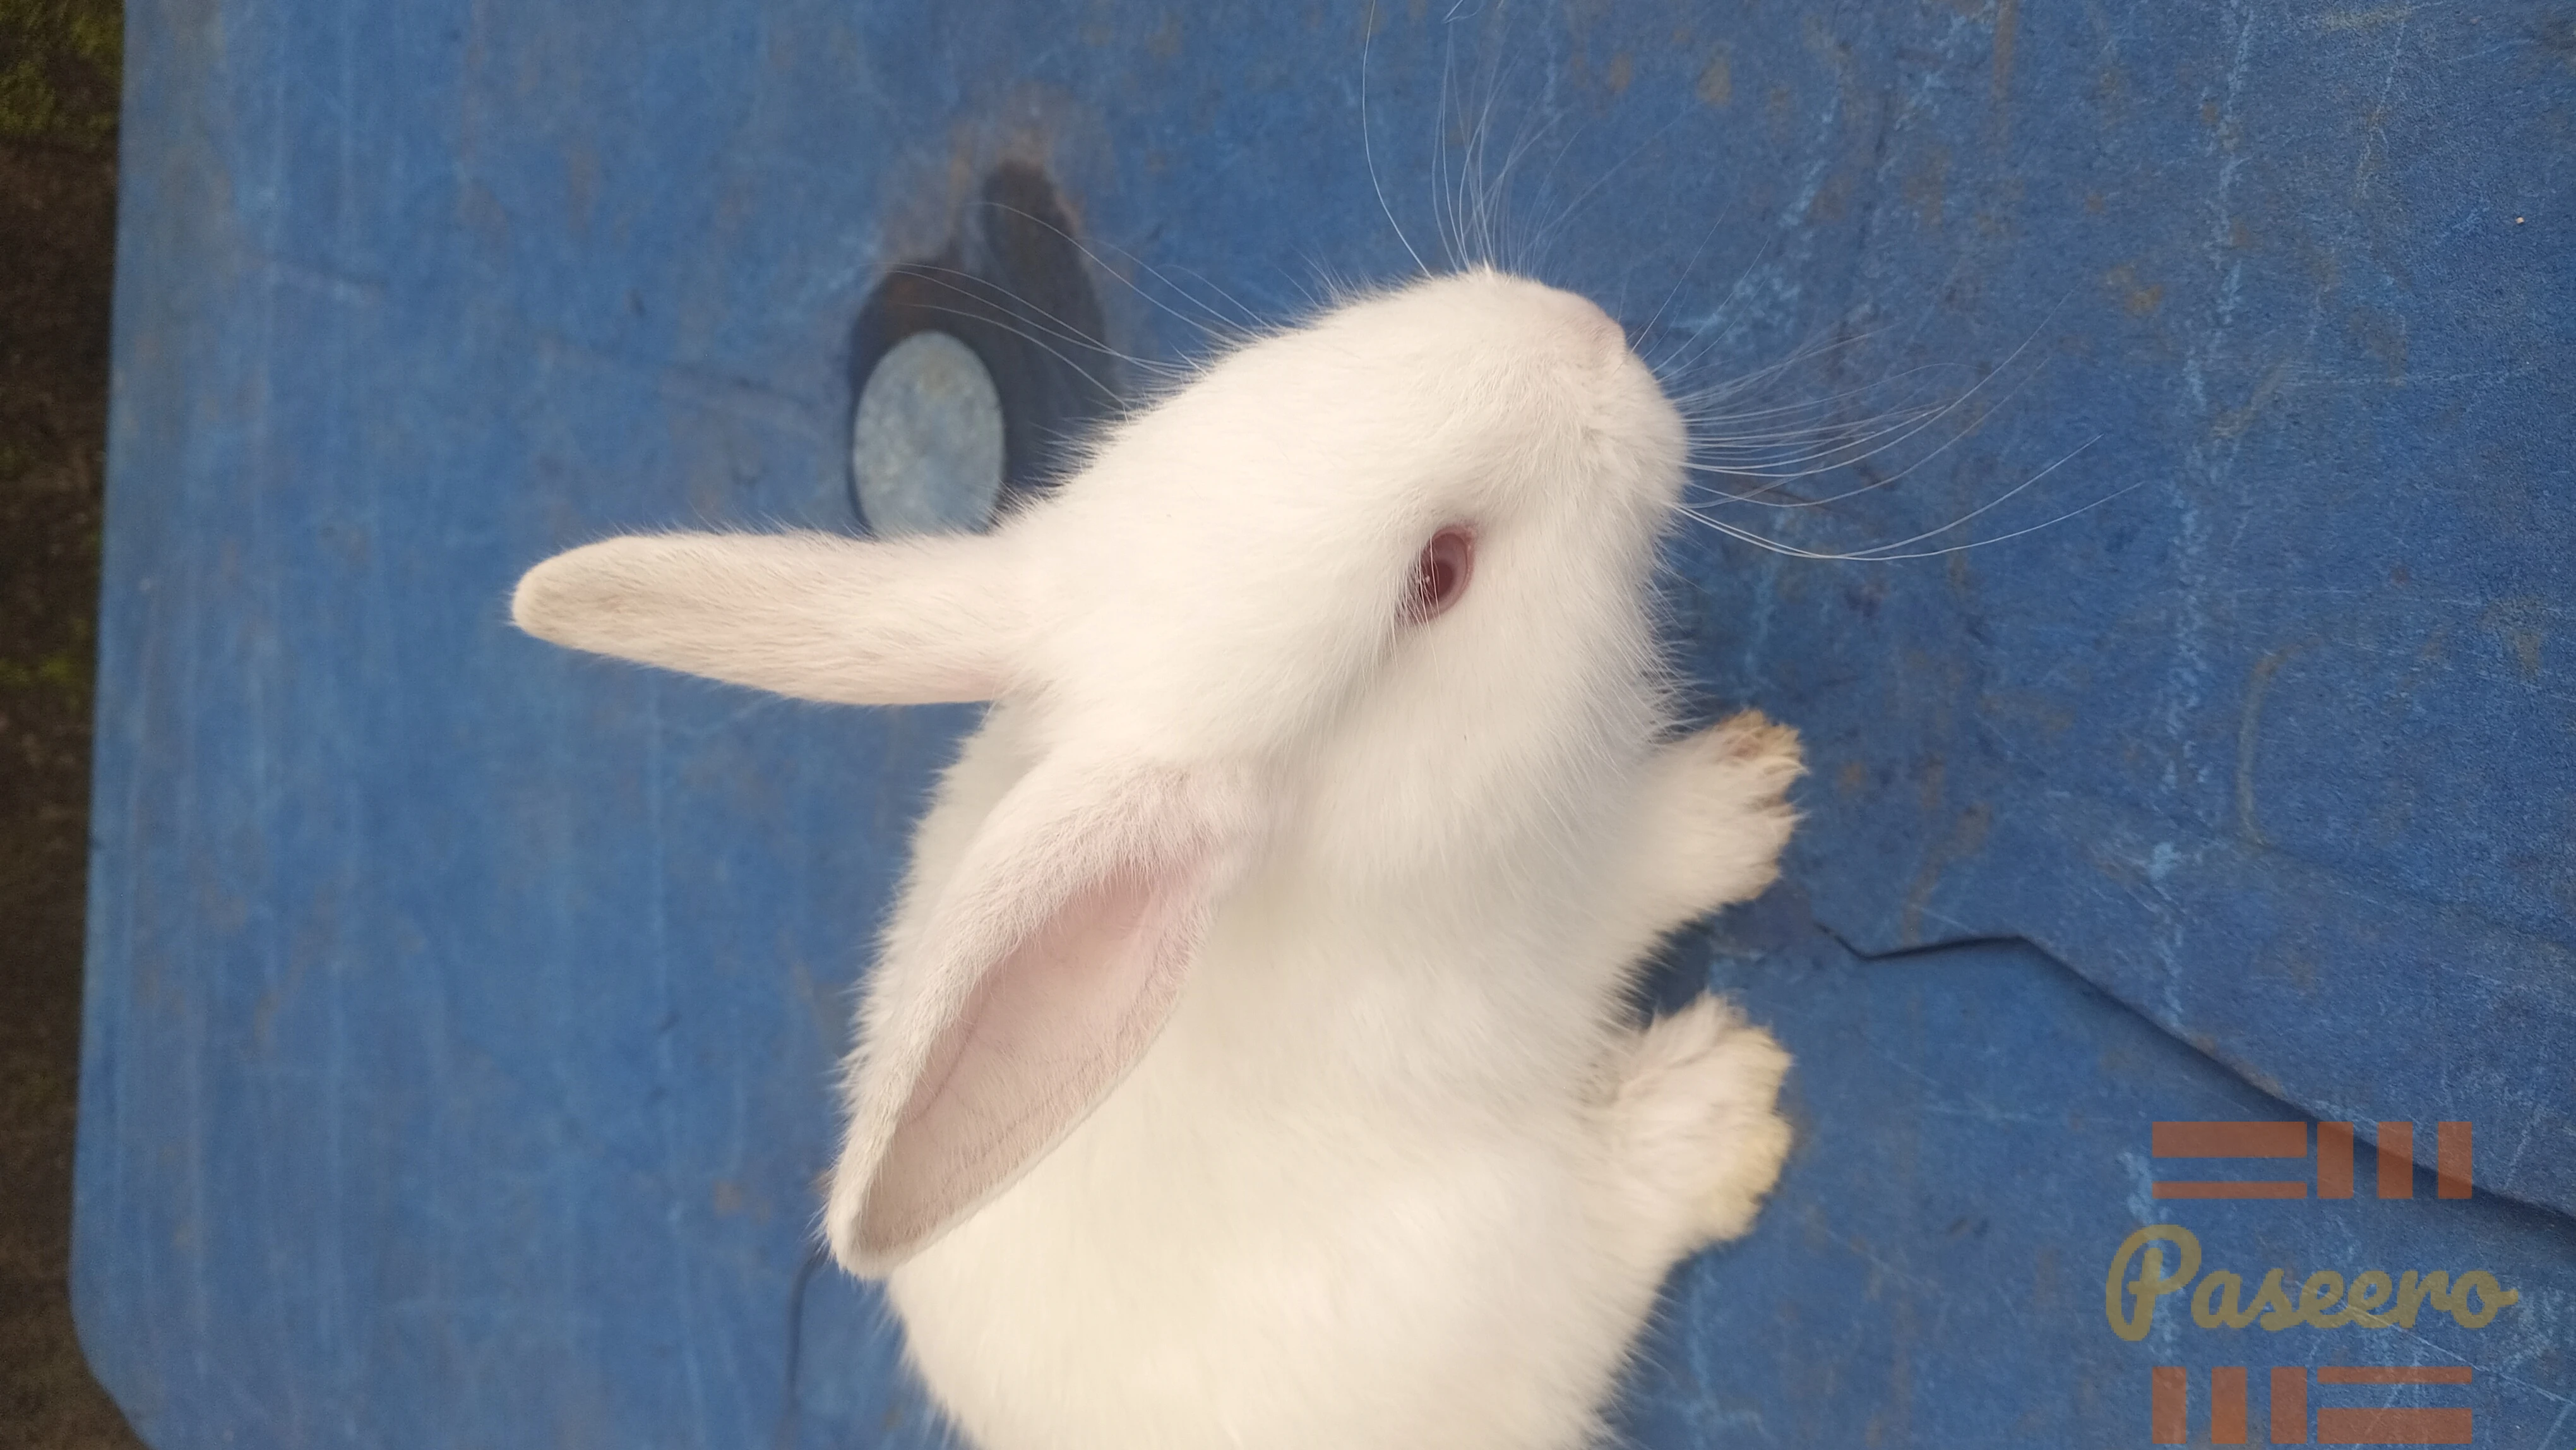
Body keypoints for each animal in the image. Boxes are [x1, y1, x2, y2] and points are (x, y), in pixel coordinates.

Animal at [510, 265, 1804, 1450]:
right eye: (1439, 573)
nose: (1588, 330)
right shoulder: (1568, 907)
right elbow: (1654, 864)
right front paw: (1750, 797)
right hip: (1487, 1265)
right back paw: (1723, 1108)